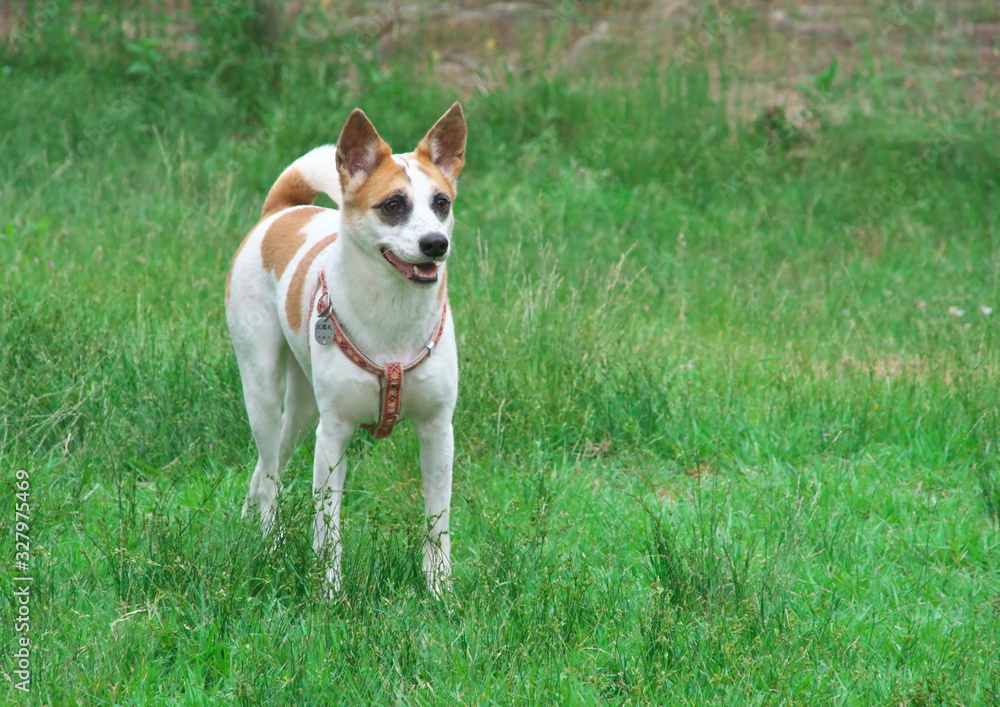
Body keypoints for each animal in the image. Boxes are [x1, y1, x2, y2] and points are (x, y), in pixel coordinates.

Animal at [225, 102, 466, 596]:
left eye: (442, 203)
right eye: (393, 205)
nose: (436, 244)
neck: (393, 316)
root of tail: (283, 210)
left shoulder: (437, 432)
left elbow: (437, 522)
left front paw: (439, 592)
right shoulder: (333, 434)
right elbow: (327, 526)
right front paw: (329, 593)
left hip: (302, 411)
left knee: (266, 465)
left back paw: (251, 526)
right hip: (263, 391)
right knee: (271, 472)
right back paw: (270, 545)